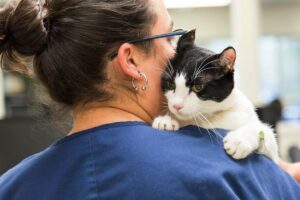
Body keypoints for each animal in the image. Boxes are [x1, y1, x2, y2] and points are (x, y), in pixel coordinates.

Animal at [154, 30, 280, 163]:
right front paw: (165, 120)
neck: (208, 117)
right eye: (171, 84)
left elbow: (263, 132)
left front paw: (239, 140)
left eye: (198, 87)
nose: (176, 105)